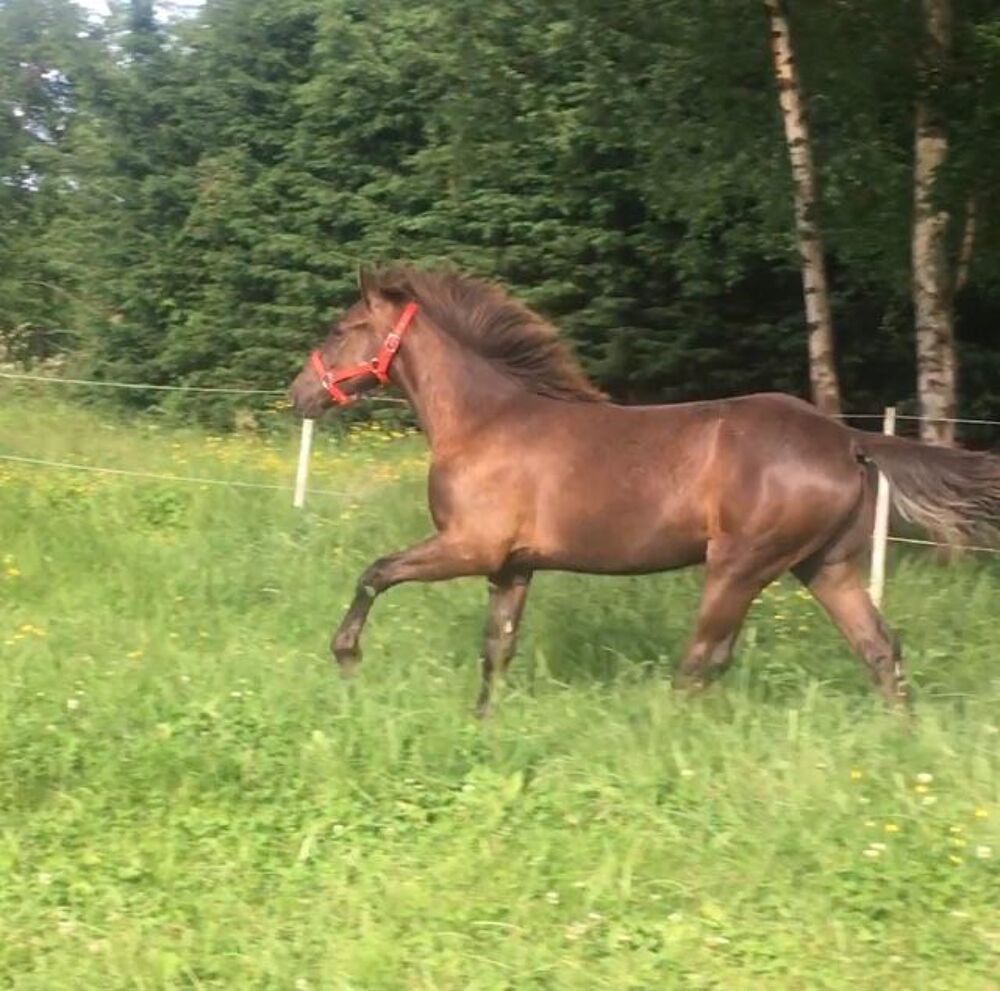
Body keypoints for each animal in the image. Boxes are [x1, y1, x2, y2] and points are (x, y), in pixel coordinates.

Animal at [289, 266, 1000, 715]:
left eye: (339, 328)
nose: (298, 395)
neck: (485, 419)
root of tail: (845, 437)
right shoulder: (511, 567)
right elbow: (497, 650)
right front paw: (481, 723)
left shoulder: (469, 546)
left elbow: (375, 572)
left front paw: (346, 658)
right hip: (825, 566)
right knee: (878, 649)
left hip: (740, 566)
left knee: (703, 660)